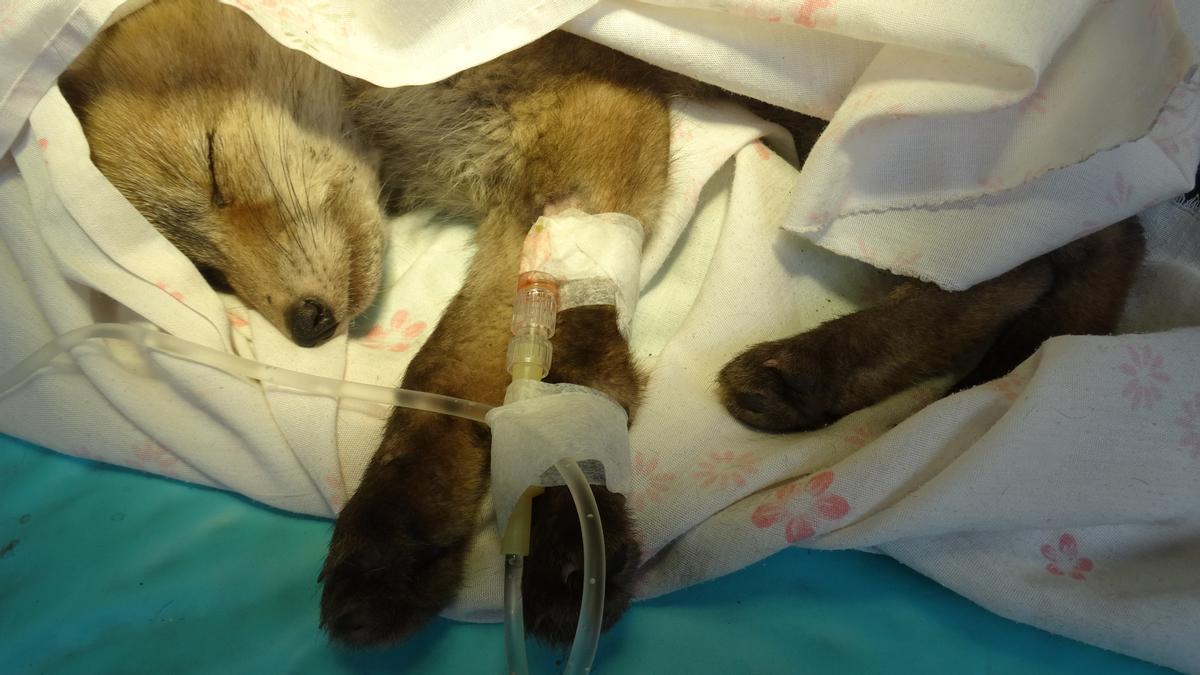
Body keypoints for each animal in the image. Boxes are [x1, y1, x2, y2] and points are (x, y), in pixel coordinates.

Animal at [60, 0, 1143, 648]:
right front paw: (459, 519)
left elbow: (475, 367)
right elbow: (499, 369)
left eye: (213, 166)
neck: (400, 124)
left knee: (1037, 259)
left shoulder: (596, 123)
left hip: (864, 145)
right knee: (1082, 250)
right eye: (206, 270)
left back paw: (819, 371)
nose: (311, 328)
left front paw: (513, 531)